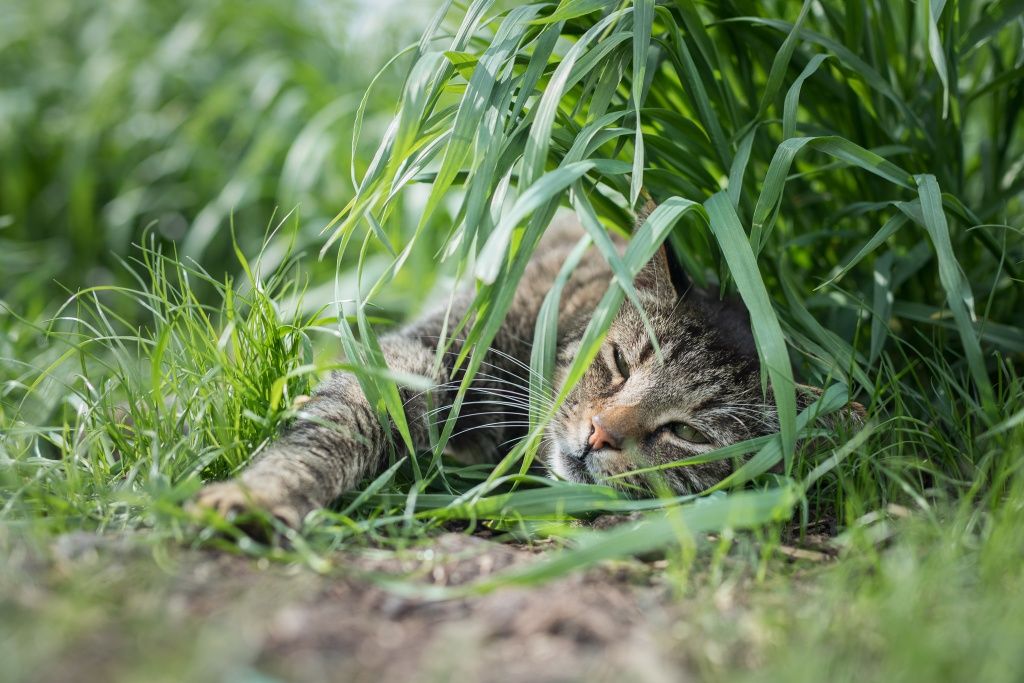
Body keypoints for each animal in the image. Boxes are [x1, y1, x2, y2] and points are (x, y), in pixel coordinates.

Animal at [192, 214, 847, 528]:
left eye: (686, 433)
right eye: (619, 362)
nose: (599, 433)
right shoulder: (418, 359)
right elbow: (332, 431)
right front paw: (262, 493)